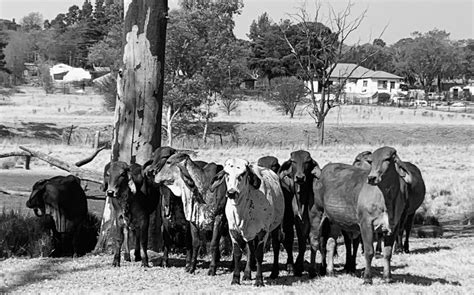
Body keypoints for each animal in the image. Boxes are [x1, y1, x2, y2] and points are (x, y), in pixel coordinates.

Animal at [213, 158, 284, 288]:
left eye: (242, 174)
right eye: (226, 173)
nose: (231, 193)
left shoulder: (263, 231)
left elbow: (259, 254)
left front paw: (259, 280)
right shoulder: (233, 231)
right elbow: (237, 254)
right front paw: (235, 279)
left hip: (275, 227)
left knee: (276, 246)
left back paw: (274, 272)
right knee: (250, 250)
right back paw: (246, 274)